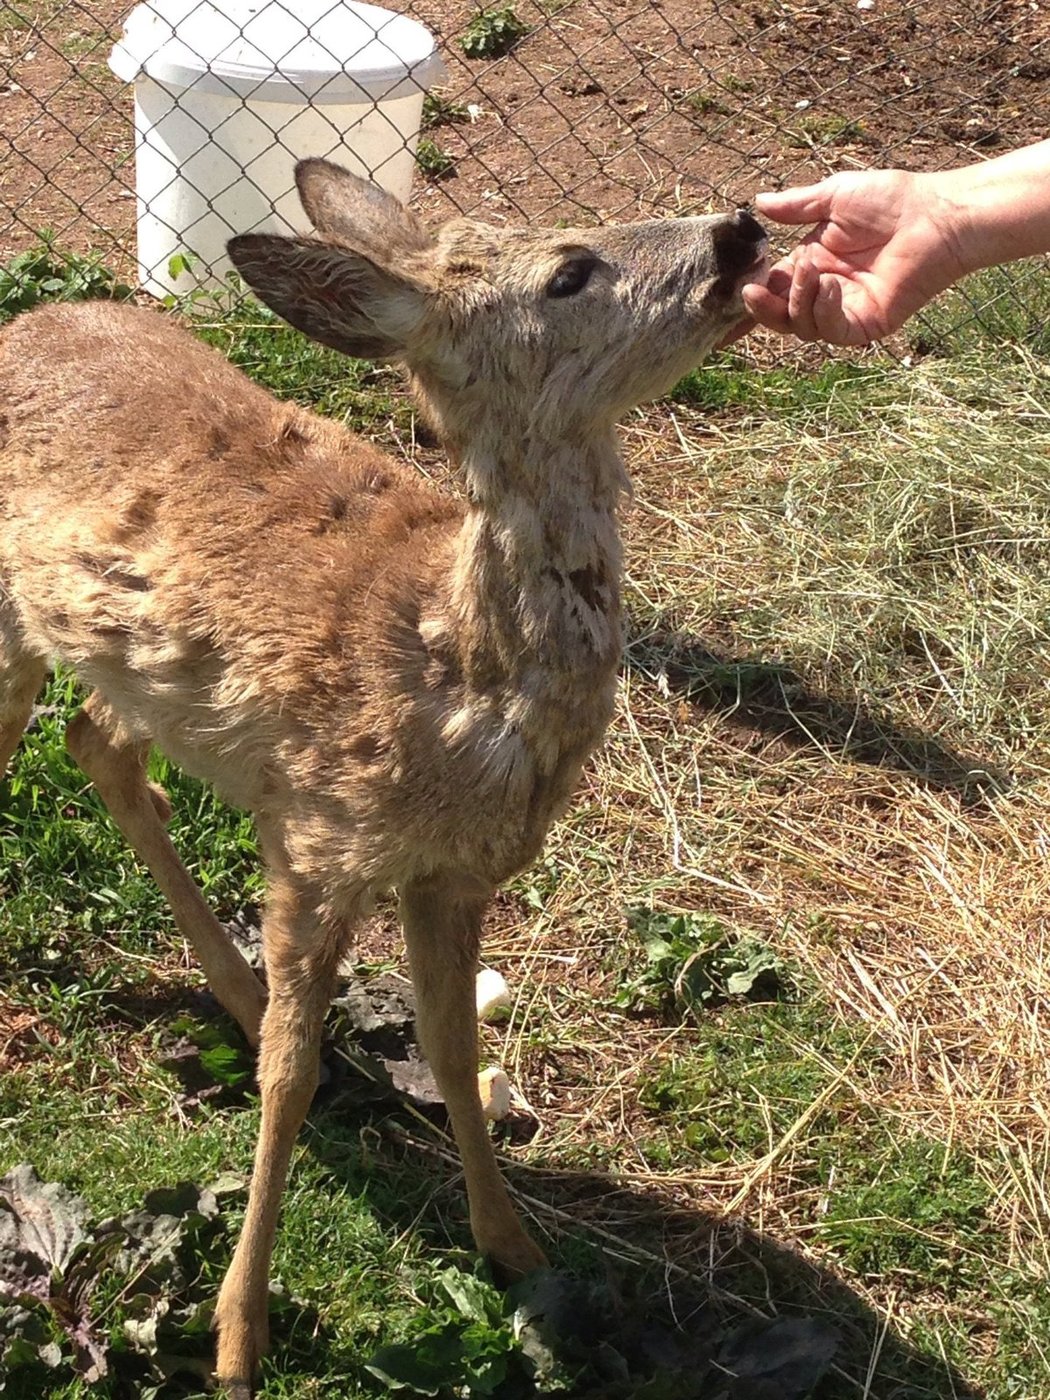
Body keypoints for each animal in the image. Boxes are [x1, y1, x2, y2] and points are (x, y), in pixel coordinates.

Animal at [0, 161, 767, 1388]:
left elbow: (454, 1050)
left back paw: (233, 984)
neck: (450, 669)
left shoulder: (452, 873)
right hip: (14, 619)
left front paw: (512, 1240)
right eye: (569, 270)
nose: (743, 229)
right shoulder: (317, 838)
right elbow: (288, 1078)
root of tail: (28, 322)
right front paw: (237, 1336)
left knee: (98, 743)